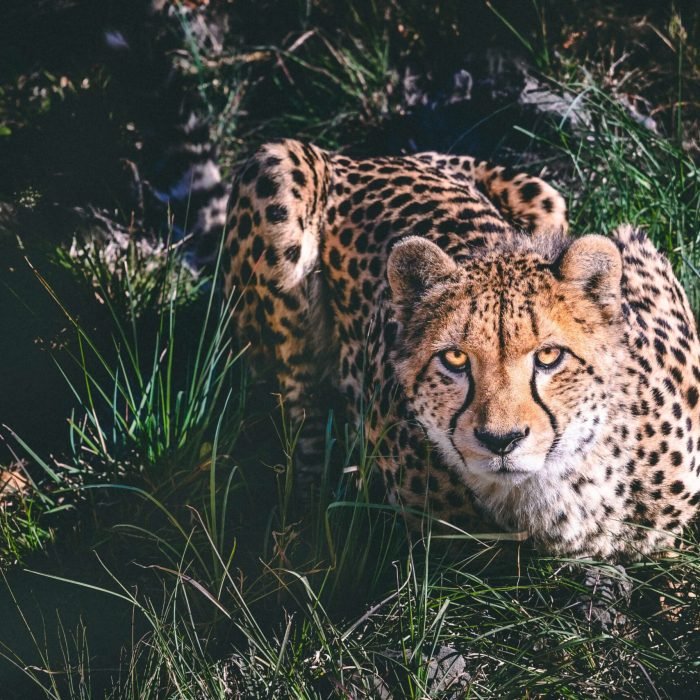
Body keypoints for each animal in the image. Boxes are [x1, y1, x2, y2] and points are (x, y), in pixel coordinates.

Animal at [223, 138, 700, 561]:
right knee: (297, 408)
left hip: (547, 197)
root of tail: (363, 158)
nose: (501, 440)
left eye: (549, 356)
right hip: (276, 170)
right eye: (454, 358)